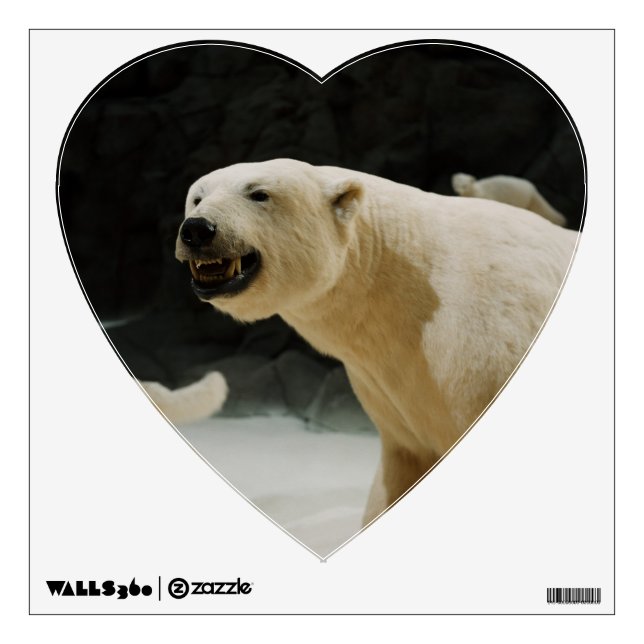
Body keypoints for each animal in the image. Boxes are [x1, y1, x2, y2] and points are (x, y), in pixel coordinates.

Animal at [174, 158, 578, 525]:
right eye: (197, 197)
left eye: (259, 193)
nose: (198, 229)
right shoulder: (392, 390)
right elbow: (399, 468)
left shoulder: (482, 348)